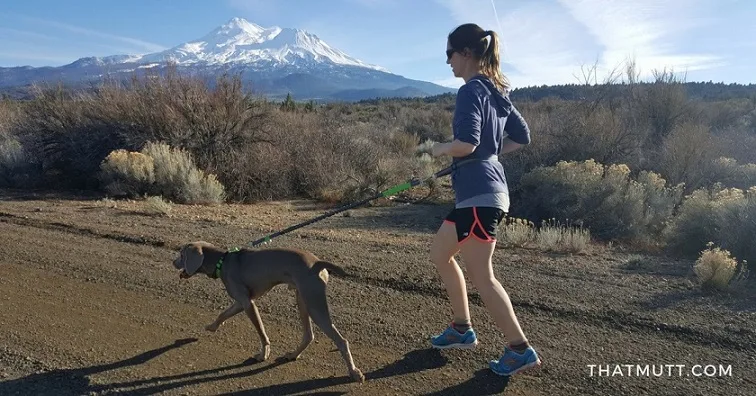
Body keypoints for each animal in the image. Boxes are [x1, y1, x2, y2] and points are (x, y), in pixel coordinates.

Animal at [176, 240, 368, 382]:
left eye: (181, 254)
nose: (173, 261)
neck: (222, 262)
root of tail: (317, 263)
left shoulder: (248, 304)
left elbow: (261, 332)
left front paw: (264, 354)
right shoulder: (241, 302)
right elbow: (224, 313)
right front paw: (212, 326)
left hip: (314, 303)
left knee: (341, 341)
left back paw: (354, 372)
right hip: (302, 299)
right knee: (308, 335)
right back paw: (292, 355)